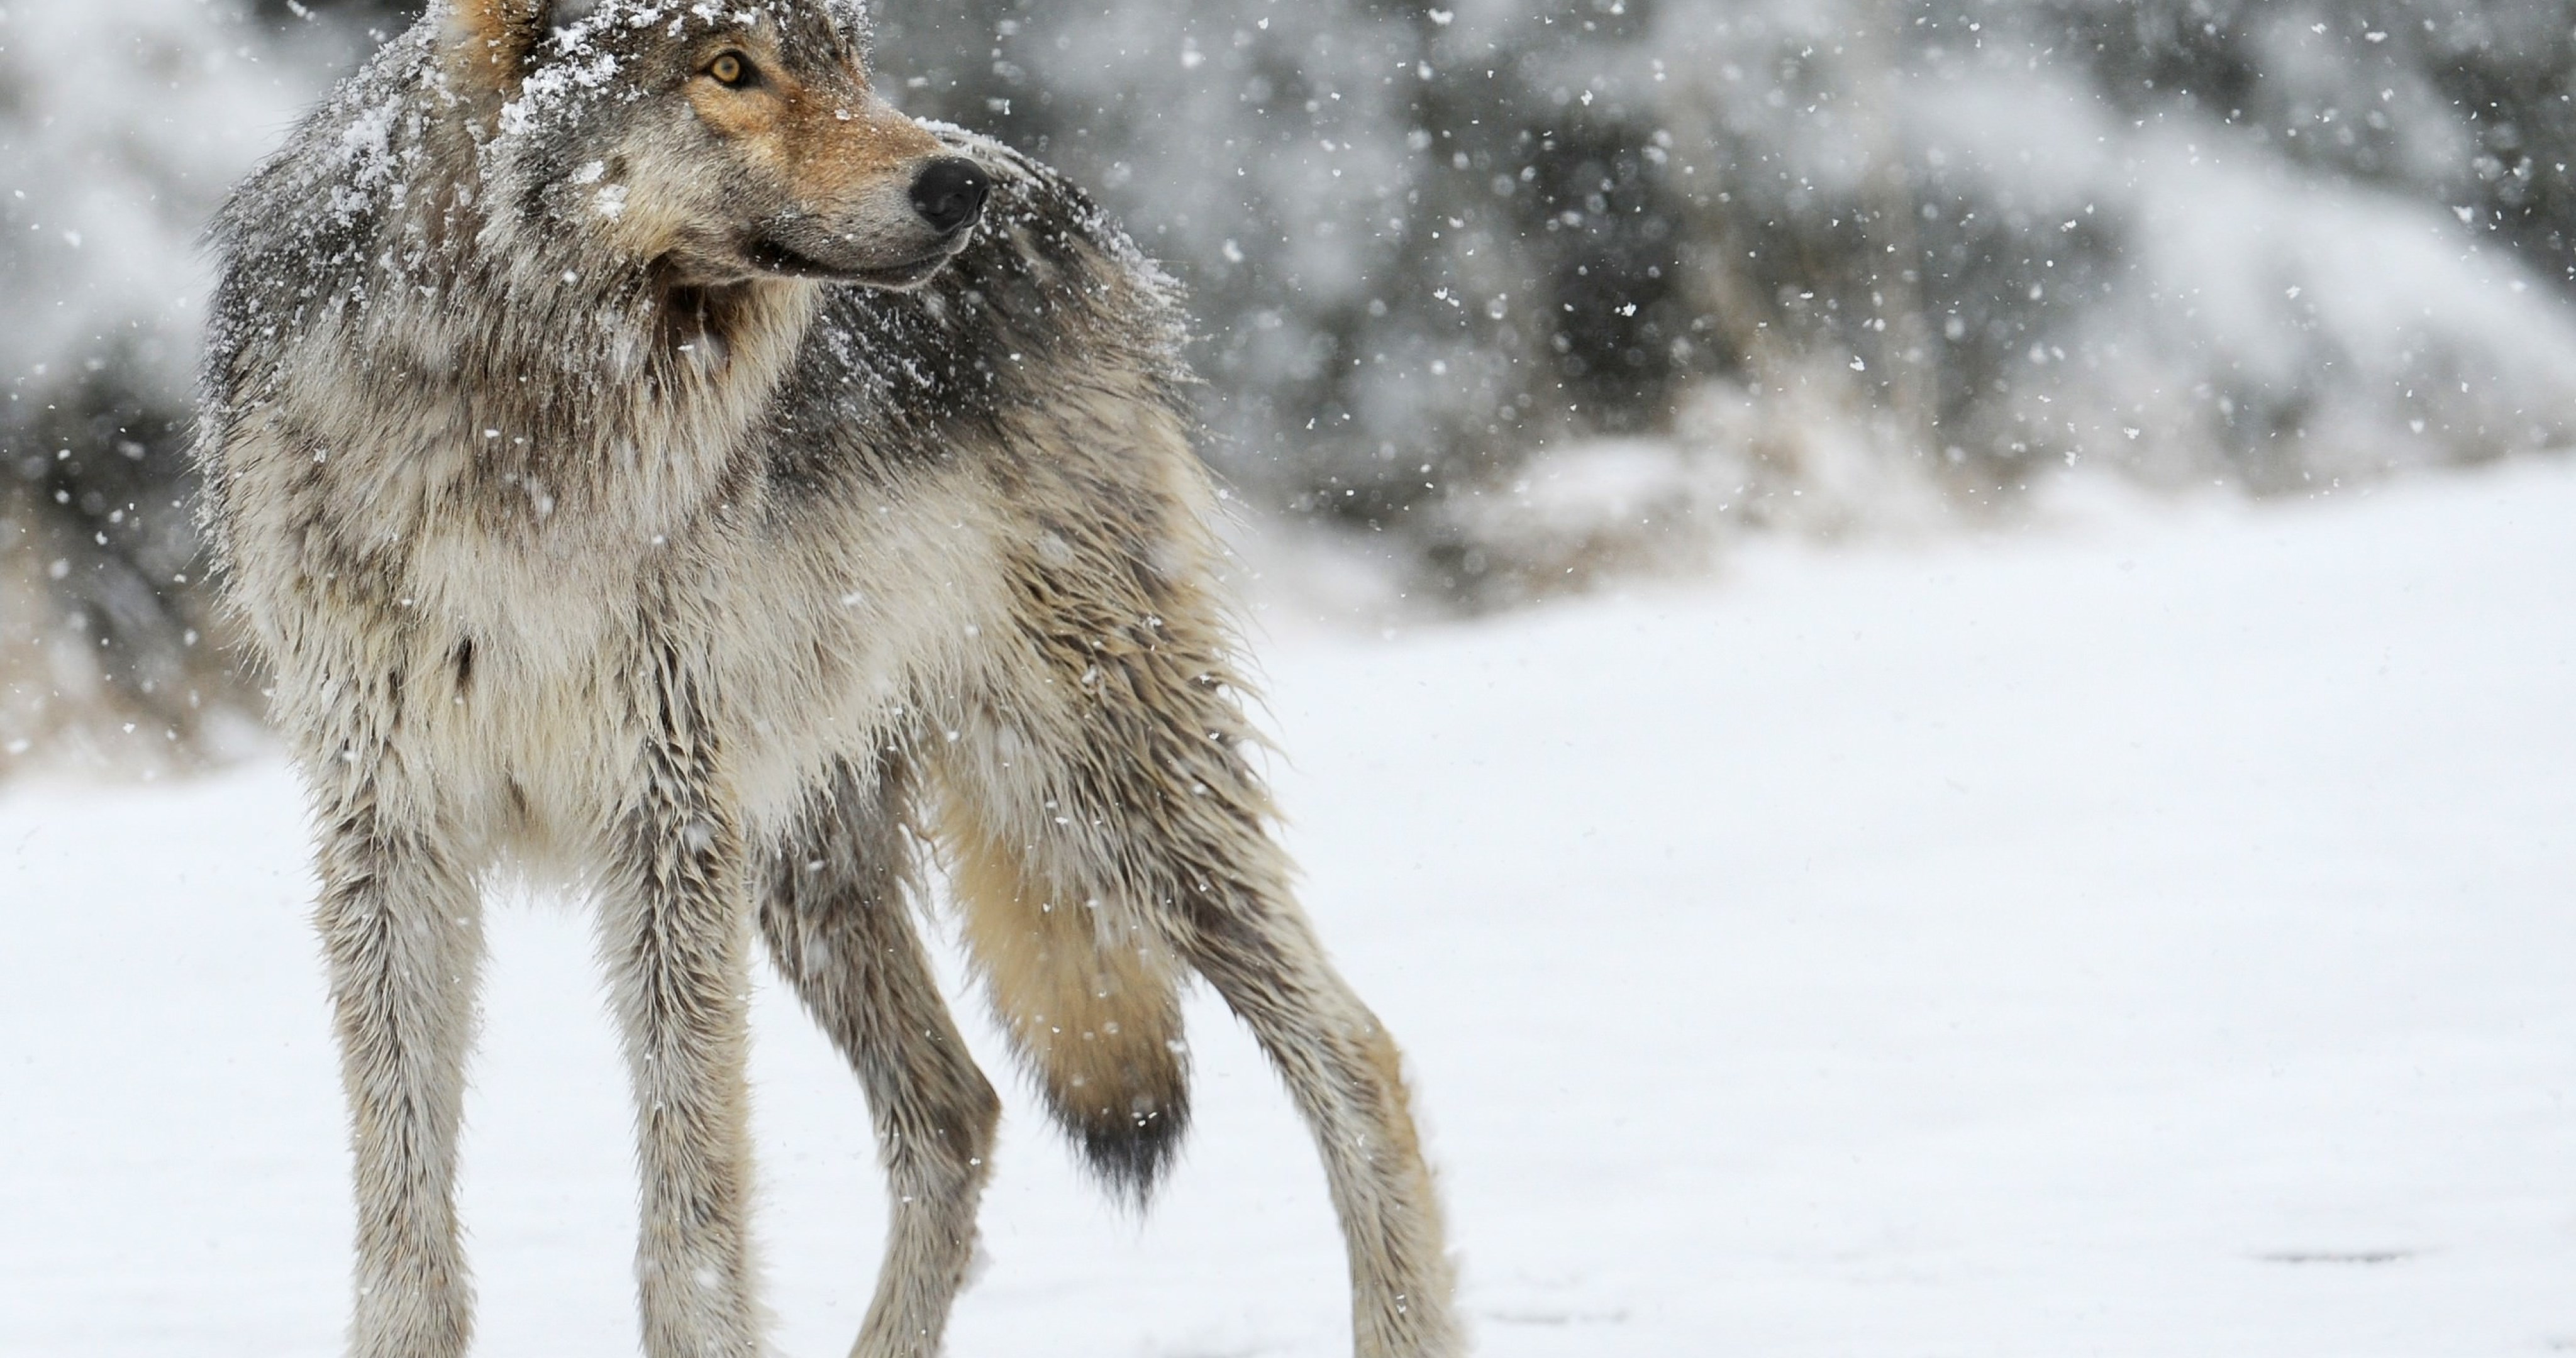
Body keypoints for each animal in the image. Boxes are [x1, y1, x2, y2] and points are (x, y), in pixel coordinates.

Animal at [193, 2, 1460, 1355]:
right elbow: (405, 1231)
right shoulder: (392, 829)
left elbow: (690, 1233)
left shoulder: (665, 817)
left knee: (1357, 1056)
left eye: (845, 53)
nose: (953, 191)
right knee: (956, 1112)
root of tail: (1062, 202)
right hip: (810, 869)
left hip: (1094, 780)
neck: (523, 420)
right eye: (728, 69)